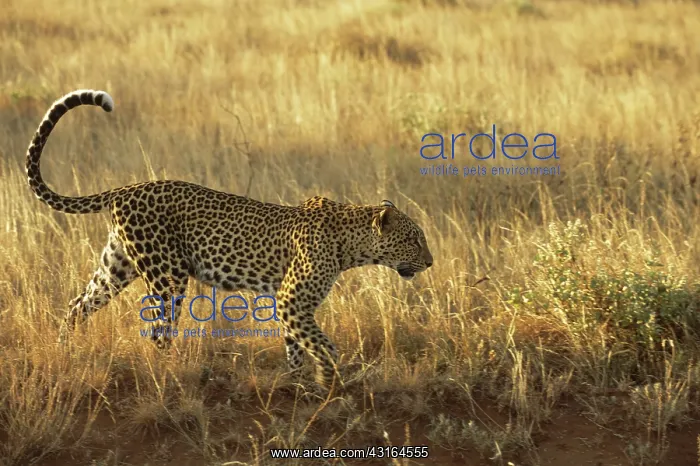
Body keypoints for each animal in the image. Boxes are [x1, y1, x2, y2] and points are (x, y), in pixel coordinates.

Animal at [25, 89, 434, 389]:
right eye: (414, 239)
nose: (430, 262)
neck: (351, 242)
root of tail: (124, 189)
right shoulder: (291, 299)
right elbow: (322, 343)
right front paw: (330, 379)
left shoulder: (293, 305)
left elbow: (298, 343)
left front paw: (302, 381)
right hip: (167, 276)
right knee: (158, 330)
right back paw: (172, 372)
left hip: (116, 266)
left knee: (78, 304)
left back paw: (65, 349)